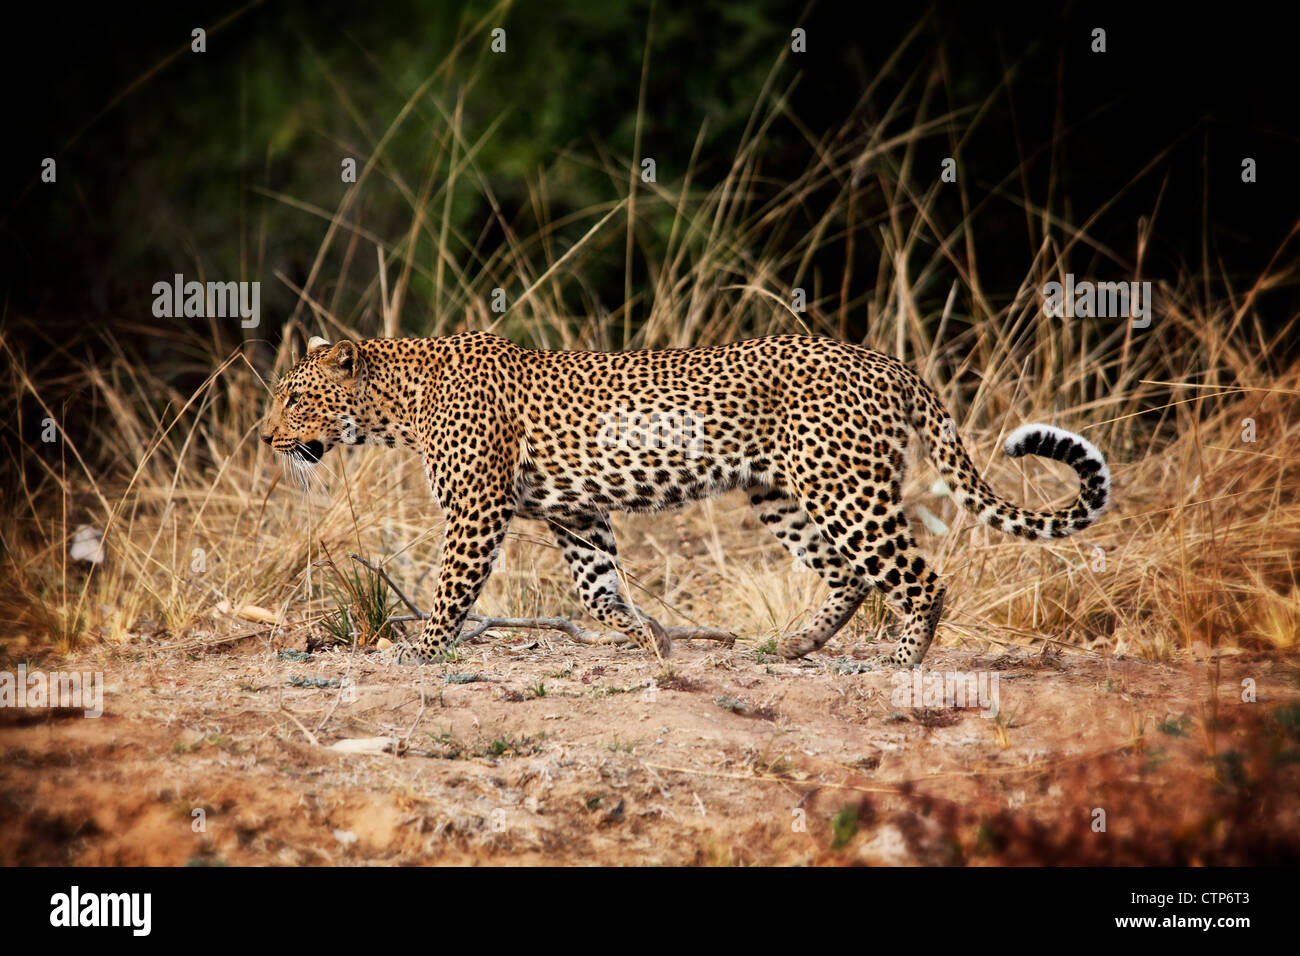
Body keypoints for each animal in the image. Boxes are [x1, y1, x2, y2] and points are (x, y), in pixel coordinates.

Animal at [261, 332, 1107, 671]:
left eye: (295, 398)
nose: (266, 436)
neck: (396, 406)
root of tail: (887, 361)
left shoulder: (476, 511)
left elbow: (451, 589)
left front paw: (424, 648)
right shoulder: (577, 513)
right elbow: (597, 590)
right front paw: (647, 638)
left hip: (845, 488)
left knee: (919, 579)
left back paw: (902, 663)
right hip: (782, 493)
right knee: (850, 576)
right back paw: (793, 646)